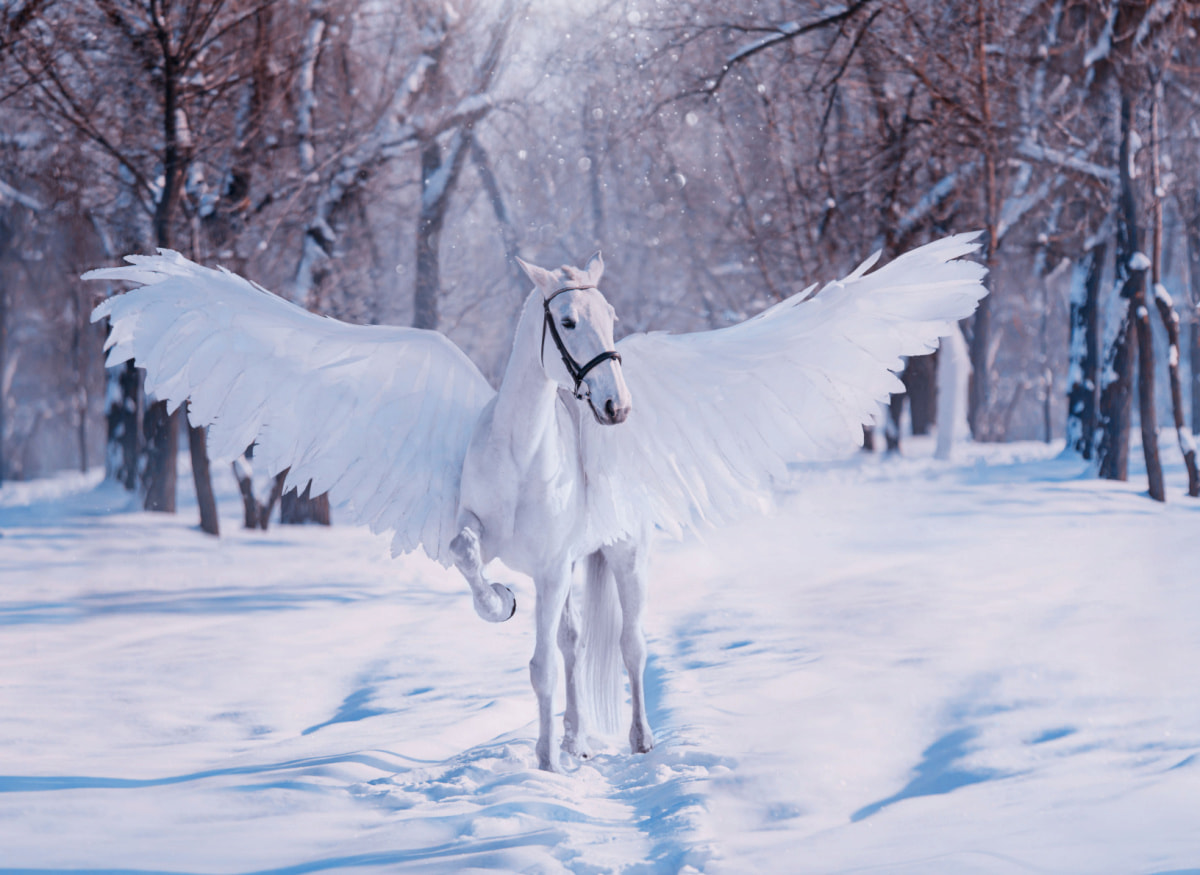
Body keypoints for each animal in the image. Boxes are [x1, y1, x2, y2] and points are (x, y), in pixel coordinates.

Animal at [87, 233, 988, 772]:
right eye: (567, 319)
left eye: (612, 315)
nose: (616, 407)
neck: (525, 453)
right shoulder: (496, 543)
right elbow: (478, 571)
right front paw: (502, 615)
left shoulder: (557, 563)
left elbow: (549, 665)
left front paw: (550, 761)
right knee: (574, 640)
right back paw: (581, 735)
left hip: (623, 557)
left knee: (626, 646)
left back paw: (634, 738)